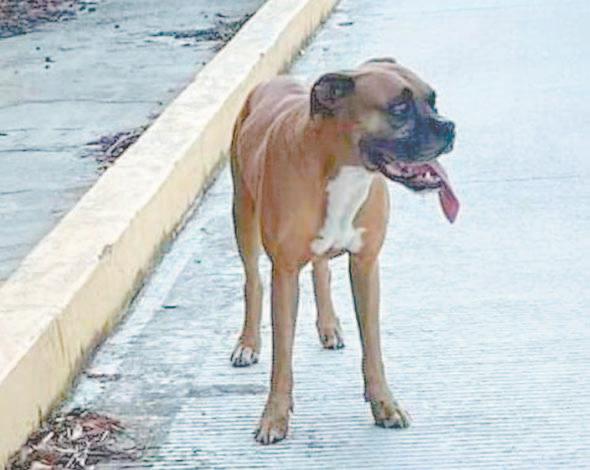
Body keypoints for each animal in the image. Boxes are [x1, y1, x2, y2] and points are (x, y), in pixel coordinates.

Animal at [229, 58, 458, 444]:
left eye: (433, 100)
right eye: (399, 108)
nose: (450, 127)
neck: (343, 169)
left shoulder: (366, 266)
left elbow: (373, 346)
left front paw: (384, 405)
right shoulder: (284, 275)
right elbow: (282, 356)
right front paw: (274, 417)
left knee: (321, 271)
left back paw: (329, 326)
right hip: (243, 217)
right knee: (252, 281)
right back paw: (248, 344)